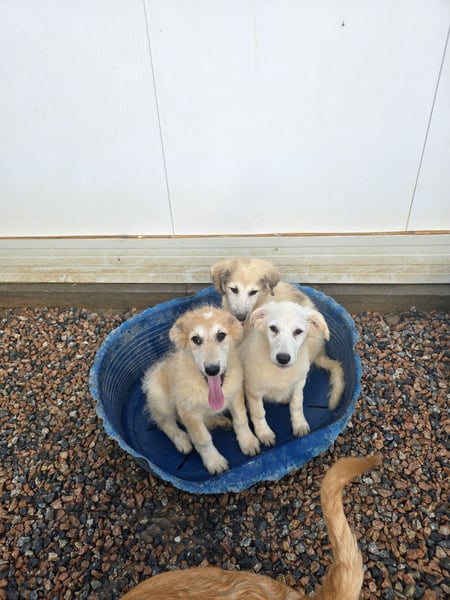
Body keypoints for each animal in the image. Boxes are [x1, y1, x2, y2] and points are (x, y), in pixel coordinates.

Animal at [142, 306, 260, 475]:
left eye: (221, 335)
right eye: (196, 339)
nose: (212, 370)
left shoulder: (235, 394)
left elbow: (241, 420)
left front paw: (248, 441)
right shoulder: (189, 412)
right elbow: (202, 439)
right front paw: (214, 461)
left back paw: (218, 421)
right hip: (159, 397)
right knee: (165, 423)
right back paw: (182, 439)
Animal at [238, 301, 331, 445]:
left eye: (298, 331)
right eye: (273, 328)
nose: (283, 358)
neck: (281, 372)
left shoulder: (299, 384)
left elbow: (297, 405)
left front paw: (299, 424)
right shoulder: (254, 391)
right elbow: (259, 413)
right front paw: (264, 432)